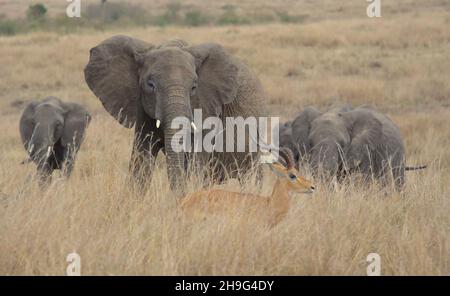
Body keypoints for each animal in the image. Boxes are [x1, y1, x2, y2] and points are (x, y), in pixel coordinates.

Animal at [83, 35, 268, 192]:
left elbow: (195, 163)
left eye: (194, 87)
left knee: (251, 176)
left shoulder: (206, 108)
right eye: (150, 84)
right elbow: (141, 161)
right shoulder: (142, 110)